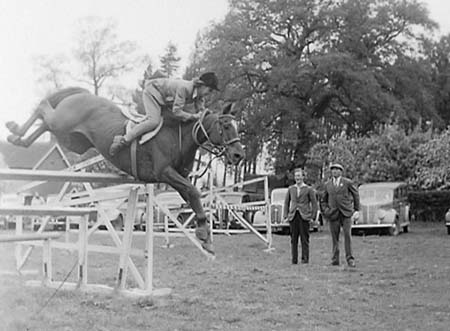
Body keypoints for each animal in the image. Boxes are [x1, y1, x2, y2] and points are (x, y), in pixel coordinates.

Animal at [6, 88, 246, 254]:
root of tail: (84, 94)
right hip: (63, 123)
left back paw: (20, 138)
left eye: (237, 128)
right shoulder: (165, 172)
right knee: (43, 107)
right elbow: (194, 192)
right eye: (226, 126)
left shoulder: (178, 179)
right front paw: (205, 235)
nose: (238, 155)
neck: (177, 136)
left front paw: (205, 237)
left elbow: (192, 197)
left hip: (72, 140)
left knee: (45, 122)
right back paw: (14, 130)